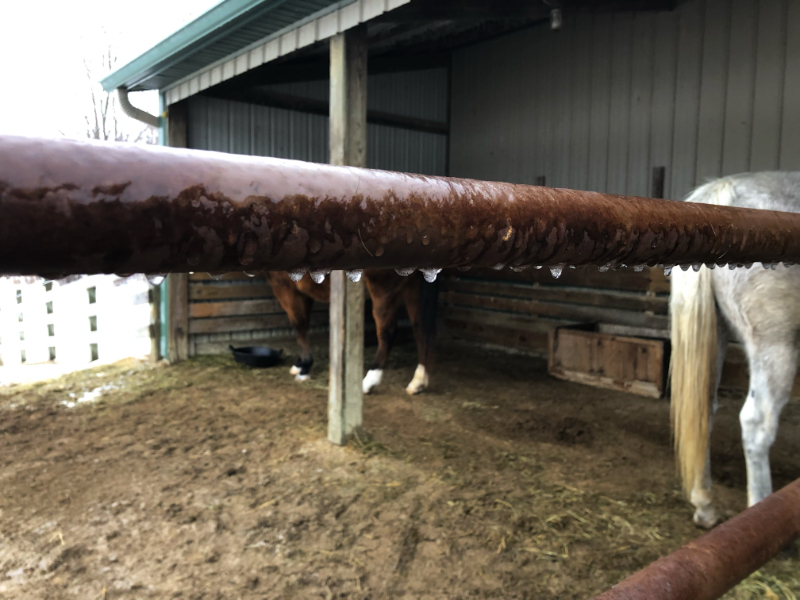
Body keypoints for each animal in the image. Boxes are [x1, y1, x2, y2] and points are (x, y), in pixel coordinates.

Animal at [266, 270, 436, 395]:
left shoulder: (286, 287)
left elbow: (299, 326)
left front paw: (305, 367)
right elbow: (302, 326)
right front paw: (300, 363)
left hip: (383, 289)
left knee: (387, 333)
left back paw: (370, 380)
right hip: (413, 288)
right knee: (420, 330)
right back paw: (418, 381)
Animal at [670, 172, 800, 527]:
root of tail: (722, 193)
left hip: (716, 332)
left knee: (705, 410)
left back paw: (705, 506)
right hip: (776, 343)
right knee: (756, 424)